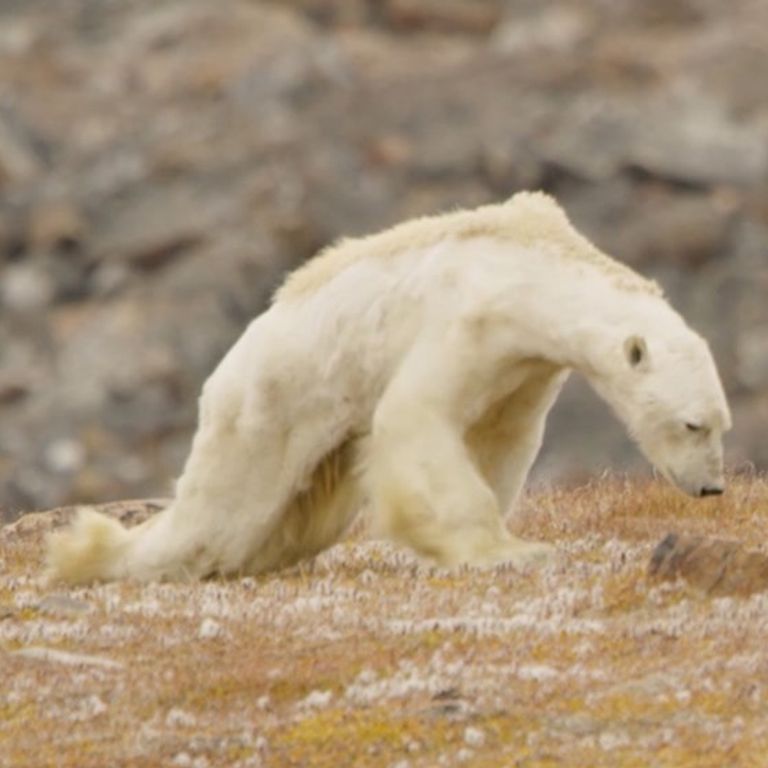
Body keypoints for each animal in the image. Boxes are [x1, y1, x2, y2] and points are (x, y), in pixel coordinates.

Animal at [46, 191, 731, 584]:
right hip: (268, 406)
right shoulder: (465, 320)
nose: (711, 487)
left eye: (720, 425)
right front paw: (503, 550)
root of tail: (223, 372)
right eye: (692, 424)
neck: (532, 268)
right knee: (220, 515)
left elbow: (502, 438)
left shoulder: (525, 366)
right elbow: (416, 418)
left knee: (295, 521)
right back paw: (91, 557)